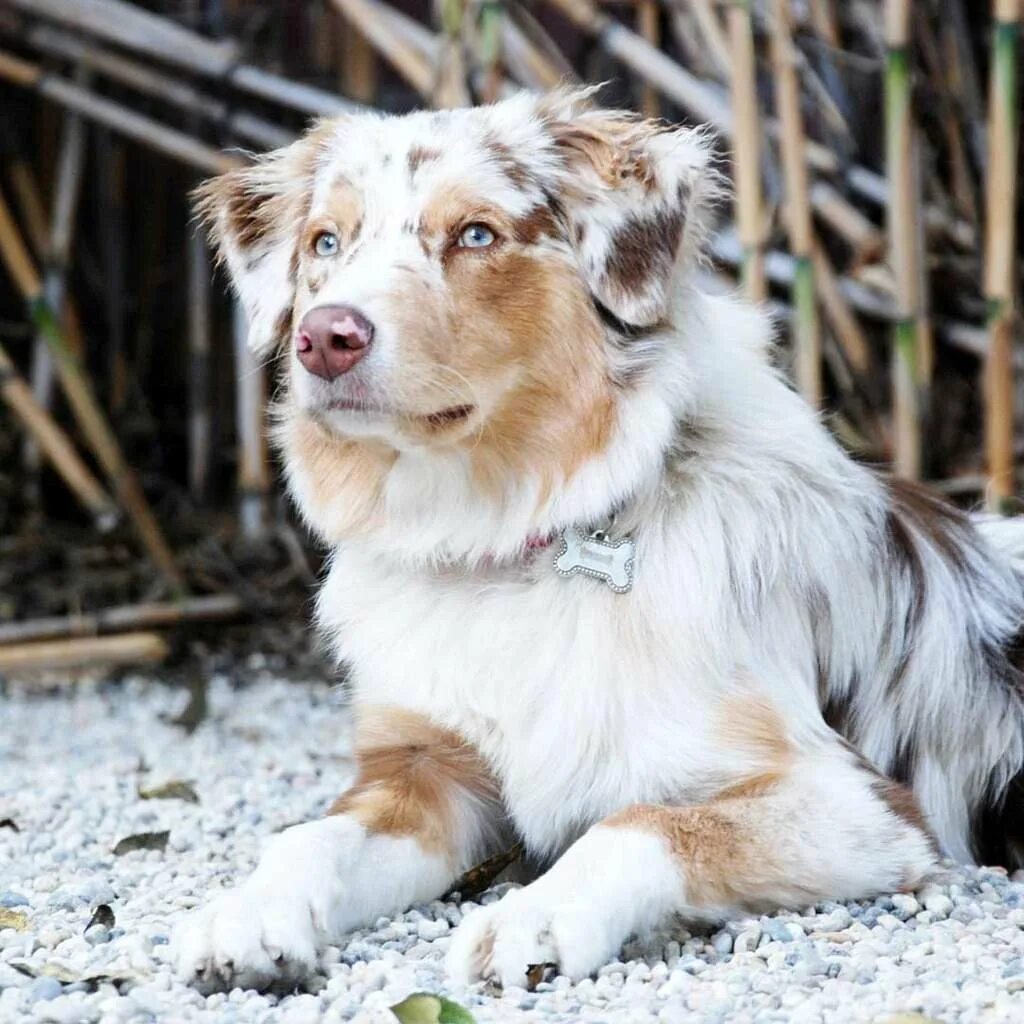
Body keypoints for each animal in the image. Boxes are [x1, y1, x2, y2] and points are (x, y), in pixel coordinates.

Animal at [172, 86, 1024, 991]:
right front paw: (250, 909)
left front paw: (535, 916)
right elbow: (312, 837)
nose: (325, 339)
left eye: (477, 235)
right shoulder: (426, 768)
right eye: (325, 243)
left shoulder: (861, 805)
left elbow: (647, 821)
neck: (506, 542)